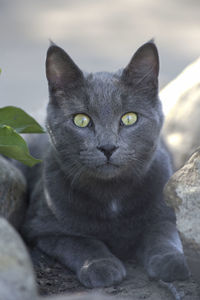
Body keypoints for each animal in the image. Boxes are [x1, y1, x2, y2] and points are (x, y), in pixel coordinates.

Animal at [21, 41, 190, 288]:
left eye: (129, 118)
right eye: (81, 120)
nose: (108, 147)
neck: (112, 196)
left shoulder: (166, 211)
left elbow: (162, 233)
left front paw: (171, 261)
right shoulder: (45, 227)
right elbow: (83, 242)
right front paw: (100, 266)